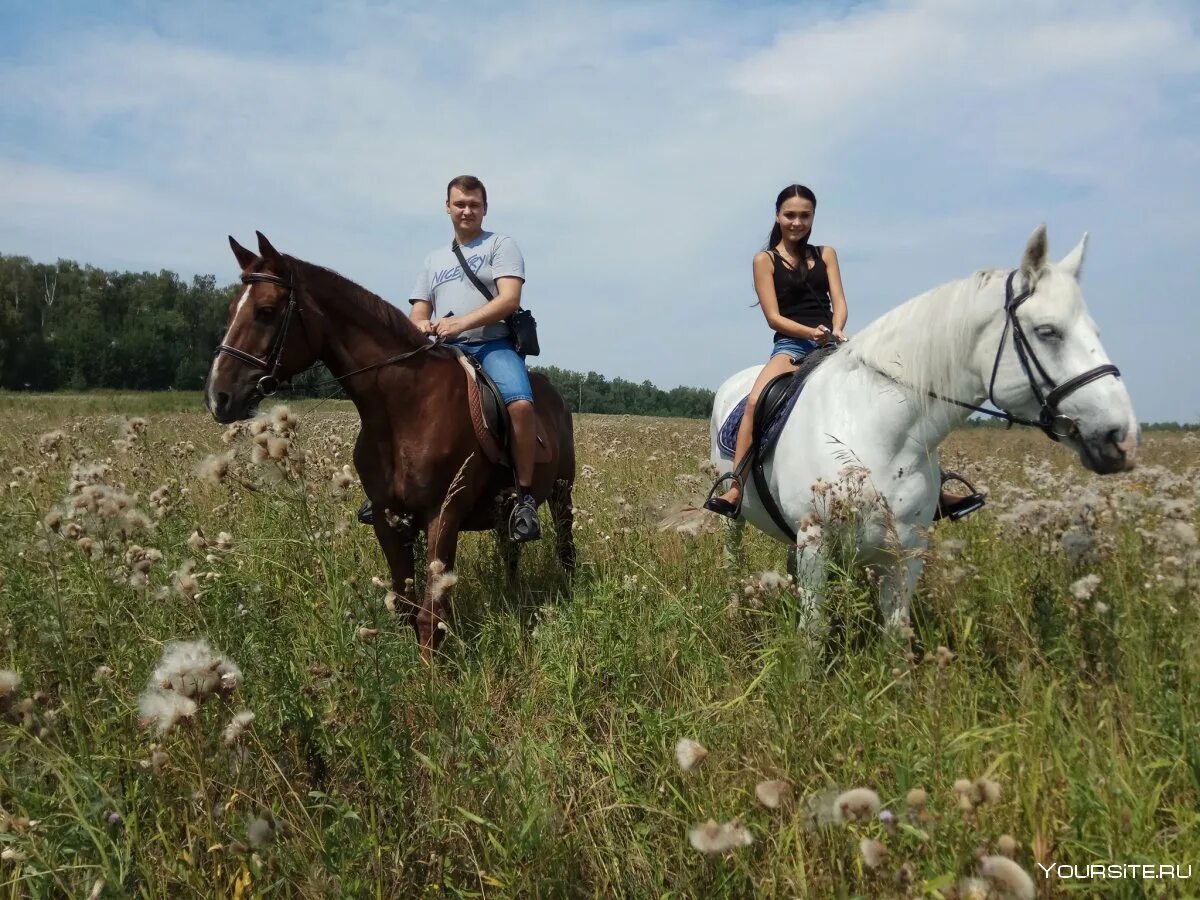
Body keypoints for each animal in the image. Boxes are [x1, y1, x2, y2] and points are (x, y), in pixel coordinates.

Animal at [202, 230, 576, 657]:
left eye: (265, 311)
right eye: (231, 309)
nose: (218, 397)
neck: (403, 407)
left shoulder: (442, 514)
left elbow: (430, 613)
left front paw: (431, 672)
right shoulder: (388, 518)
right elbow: (404, 606)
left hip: (561, 494)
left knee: (565, 548)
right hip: (502, 510)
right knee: (510, 552)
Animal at [705, 226, 1137, 628]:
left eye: (1096, 332)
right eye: (1048, 331)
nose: (1122, 438)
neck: (875, 434)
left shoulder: (906, 553)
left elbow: (896, 635)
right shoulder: (816, 541)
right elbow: (814, 631)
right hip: (735, 519)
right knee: (731, 556)